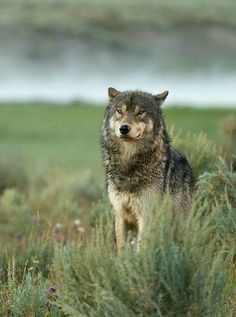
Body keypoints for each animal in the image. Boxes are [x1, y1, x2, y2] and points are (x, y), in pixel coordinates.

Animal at [100, 87, 195, 254]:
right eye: (120, 111)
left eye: (140, 112)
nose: (124, 128)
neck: (129, 165)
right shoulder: (120, 214)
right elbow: (121, 248)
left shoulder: (145, 214)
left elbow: (142, 249)